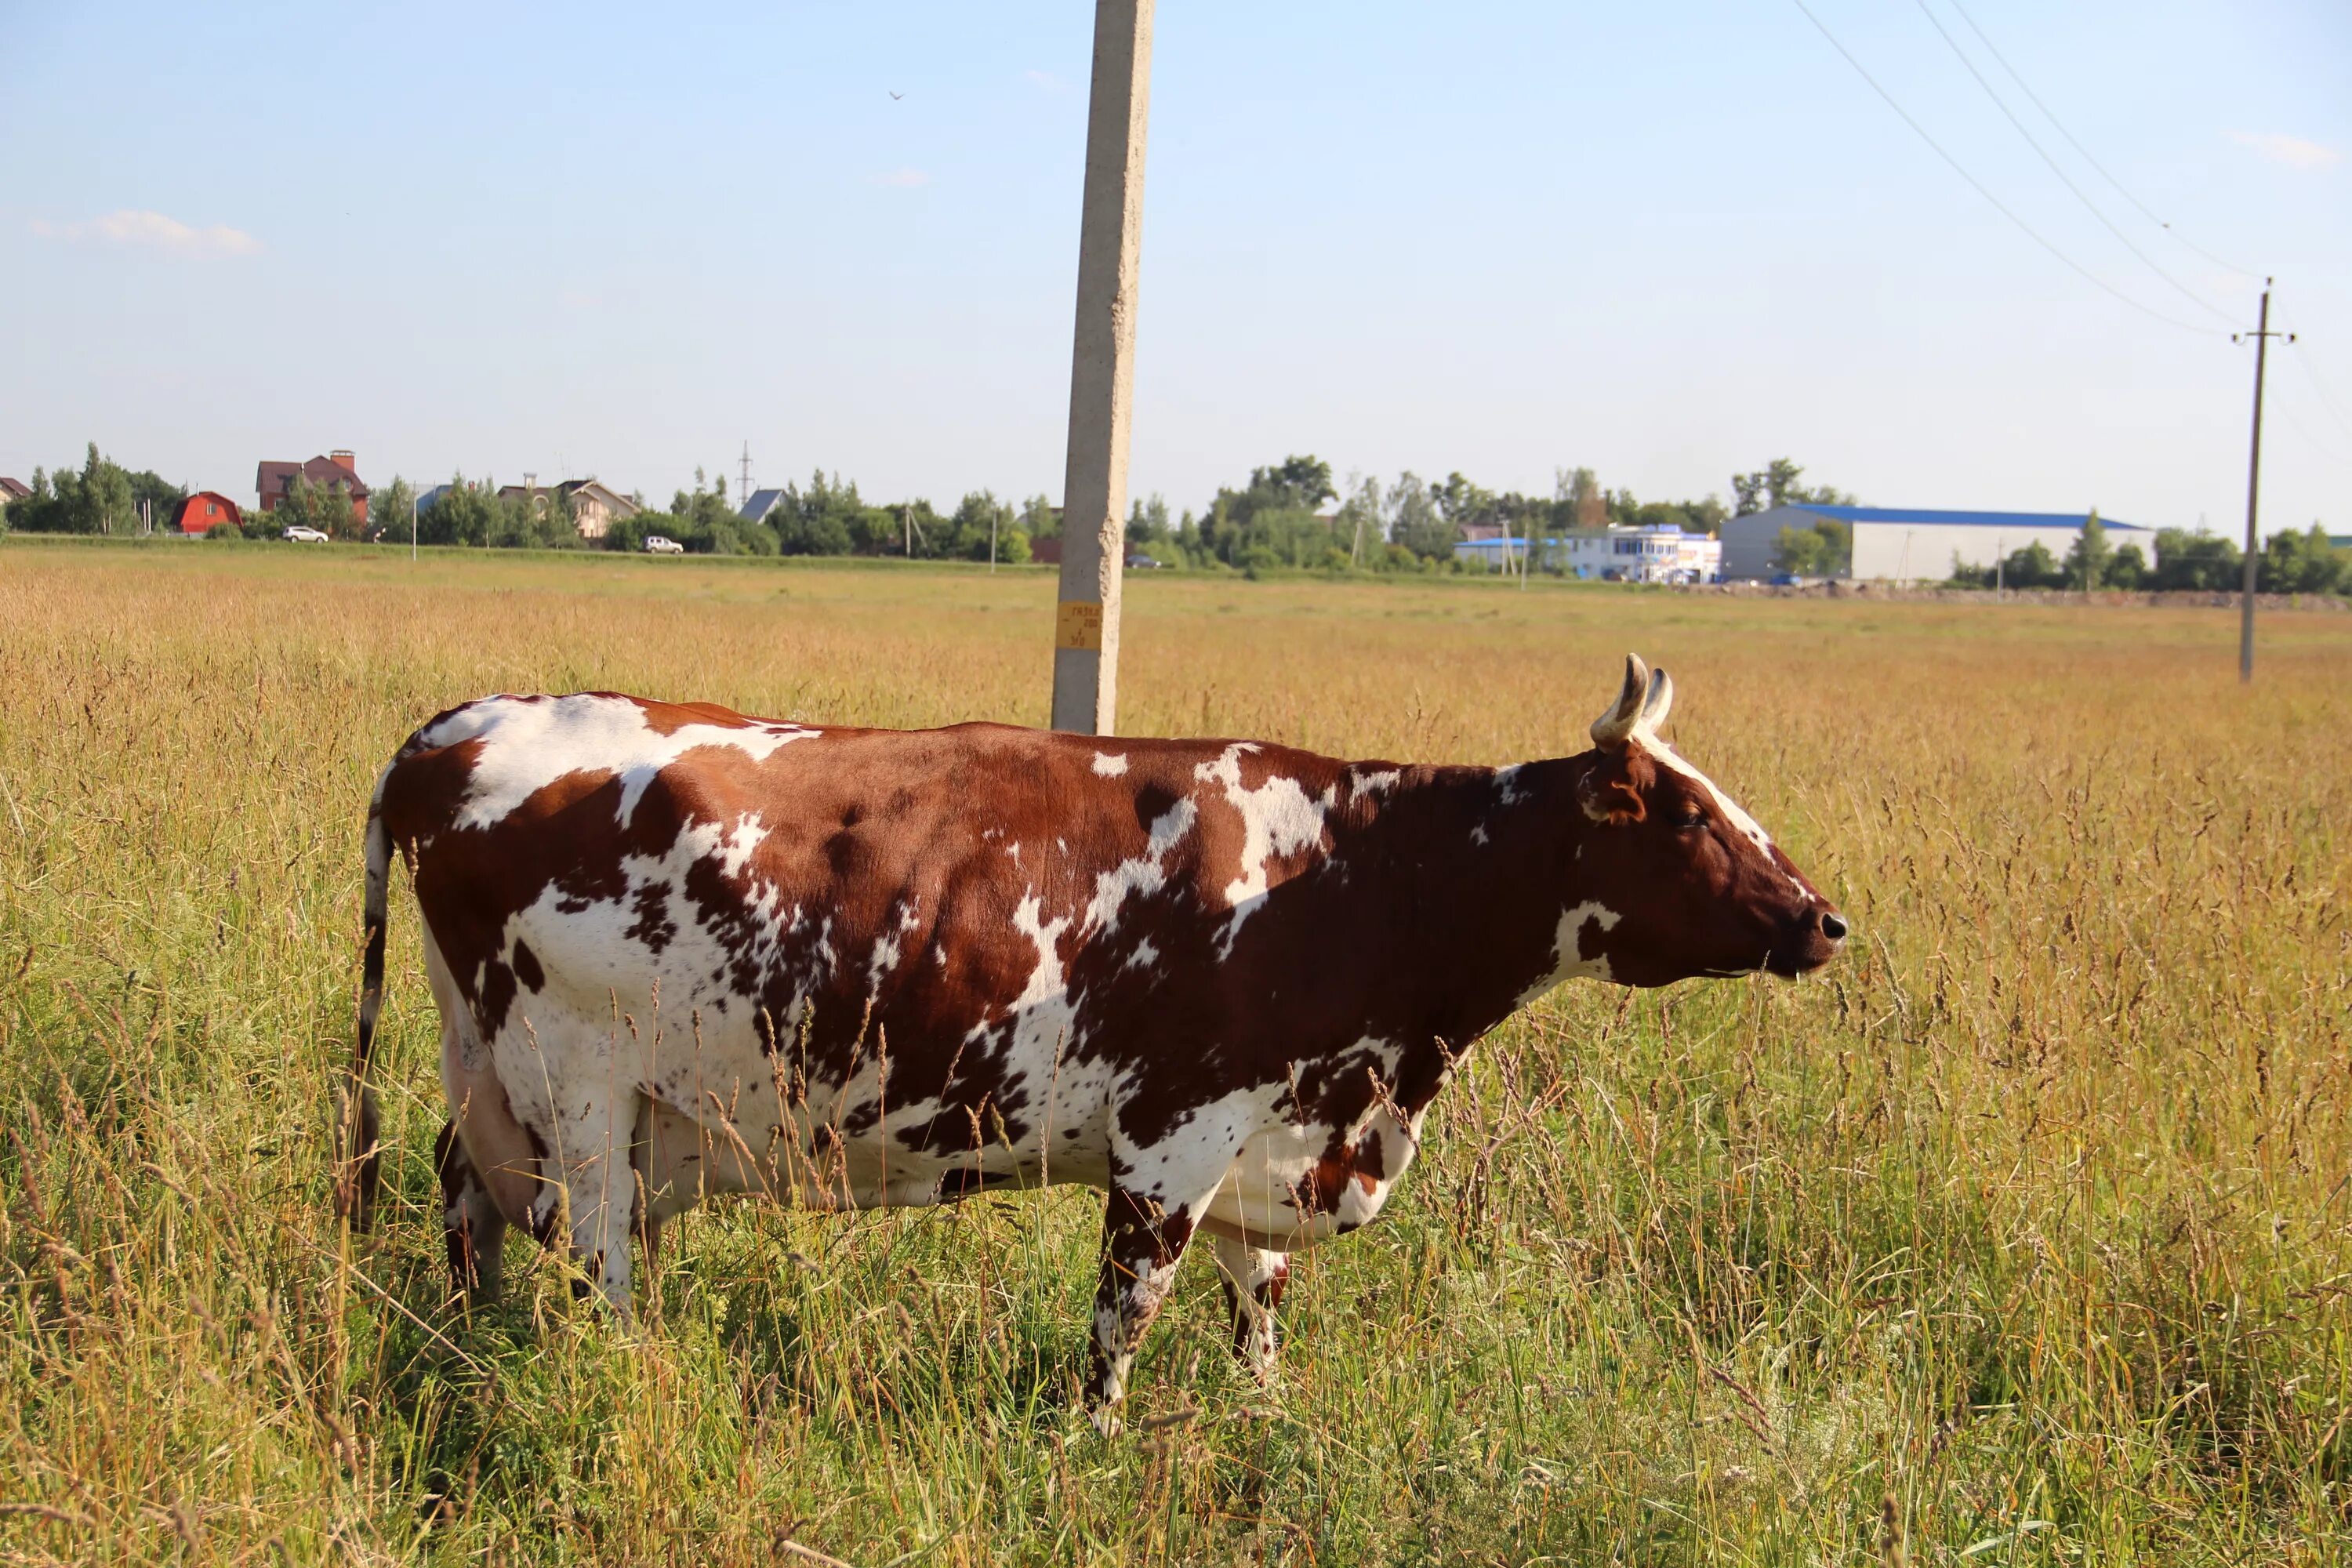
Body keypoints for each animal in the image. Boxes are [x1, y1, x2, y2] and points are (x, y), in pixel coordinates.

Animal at [336, 658, 1835, 1420]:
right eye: (1685, 814)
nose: (1824, 920)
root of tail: (475, 717)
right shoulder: (1172, 1139)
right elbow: (1126, 1320)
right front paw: (1091, 1445)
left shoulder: (1264, 1143)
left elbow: (1256, 1315)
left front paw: (1266, 1431)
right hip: (583, 1096)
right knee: (591, 1261)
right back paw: (621, 1379)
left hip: (493, 1080)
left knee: (464, 1204)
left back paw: (468, 1354)